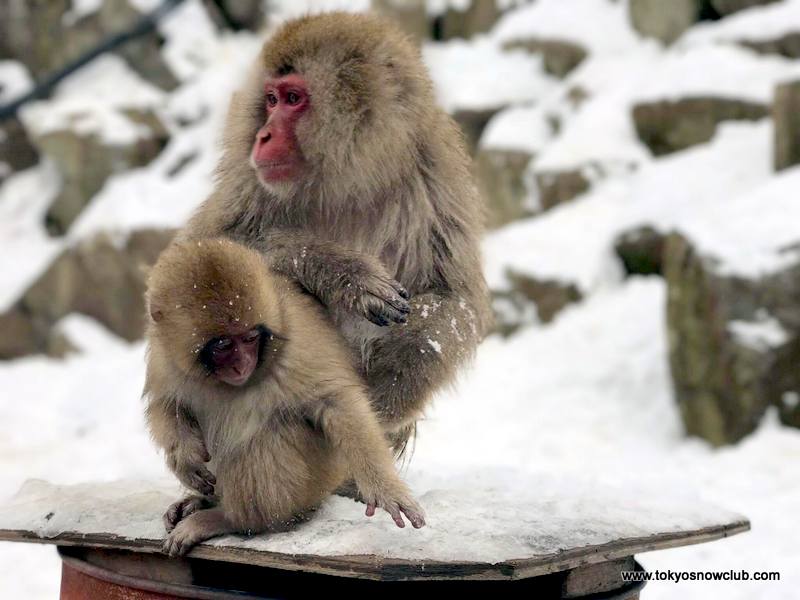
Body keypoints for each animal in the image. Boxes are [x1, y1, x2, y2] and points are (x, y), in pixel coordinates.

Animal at [144, 239, 424, 556]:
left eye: (250, 339)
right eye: (223, 345)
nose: (242, 365)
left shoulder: (297, 348)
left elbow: (336, 404)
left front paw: (385, 488)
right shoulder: (164, 356)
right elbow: (166, 404)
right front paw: (185, 458)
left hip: (316, 480)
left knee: (268, 435)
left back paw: (226, 518)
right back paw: (201, 502)